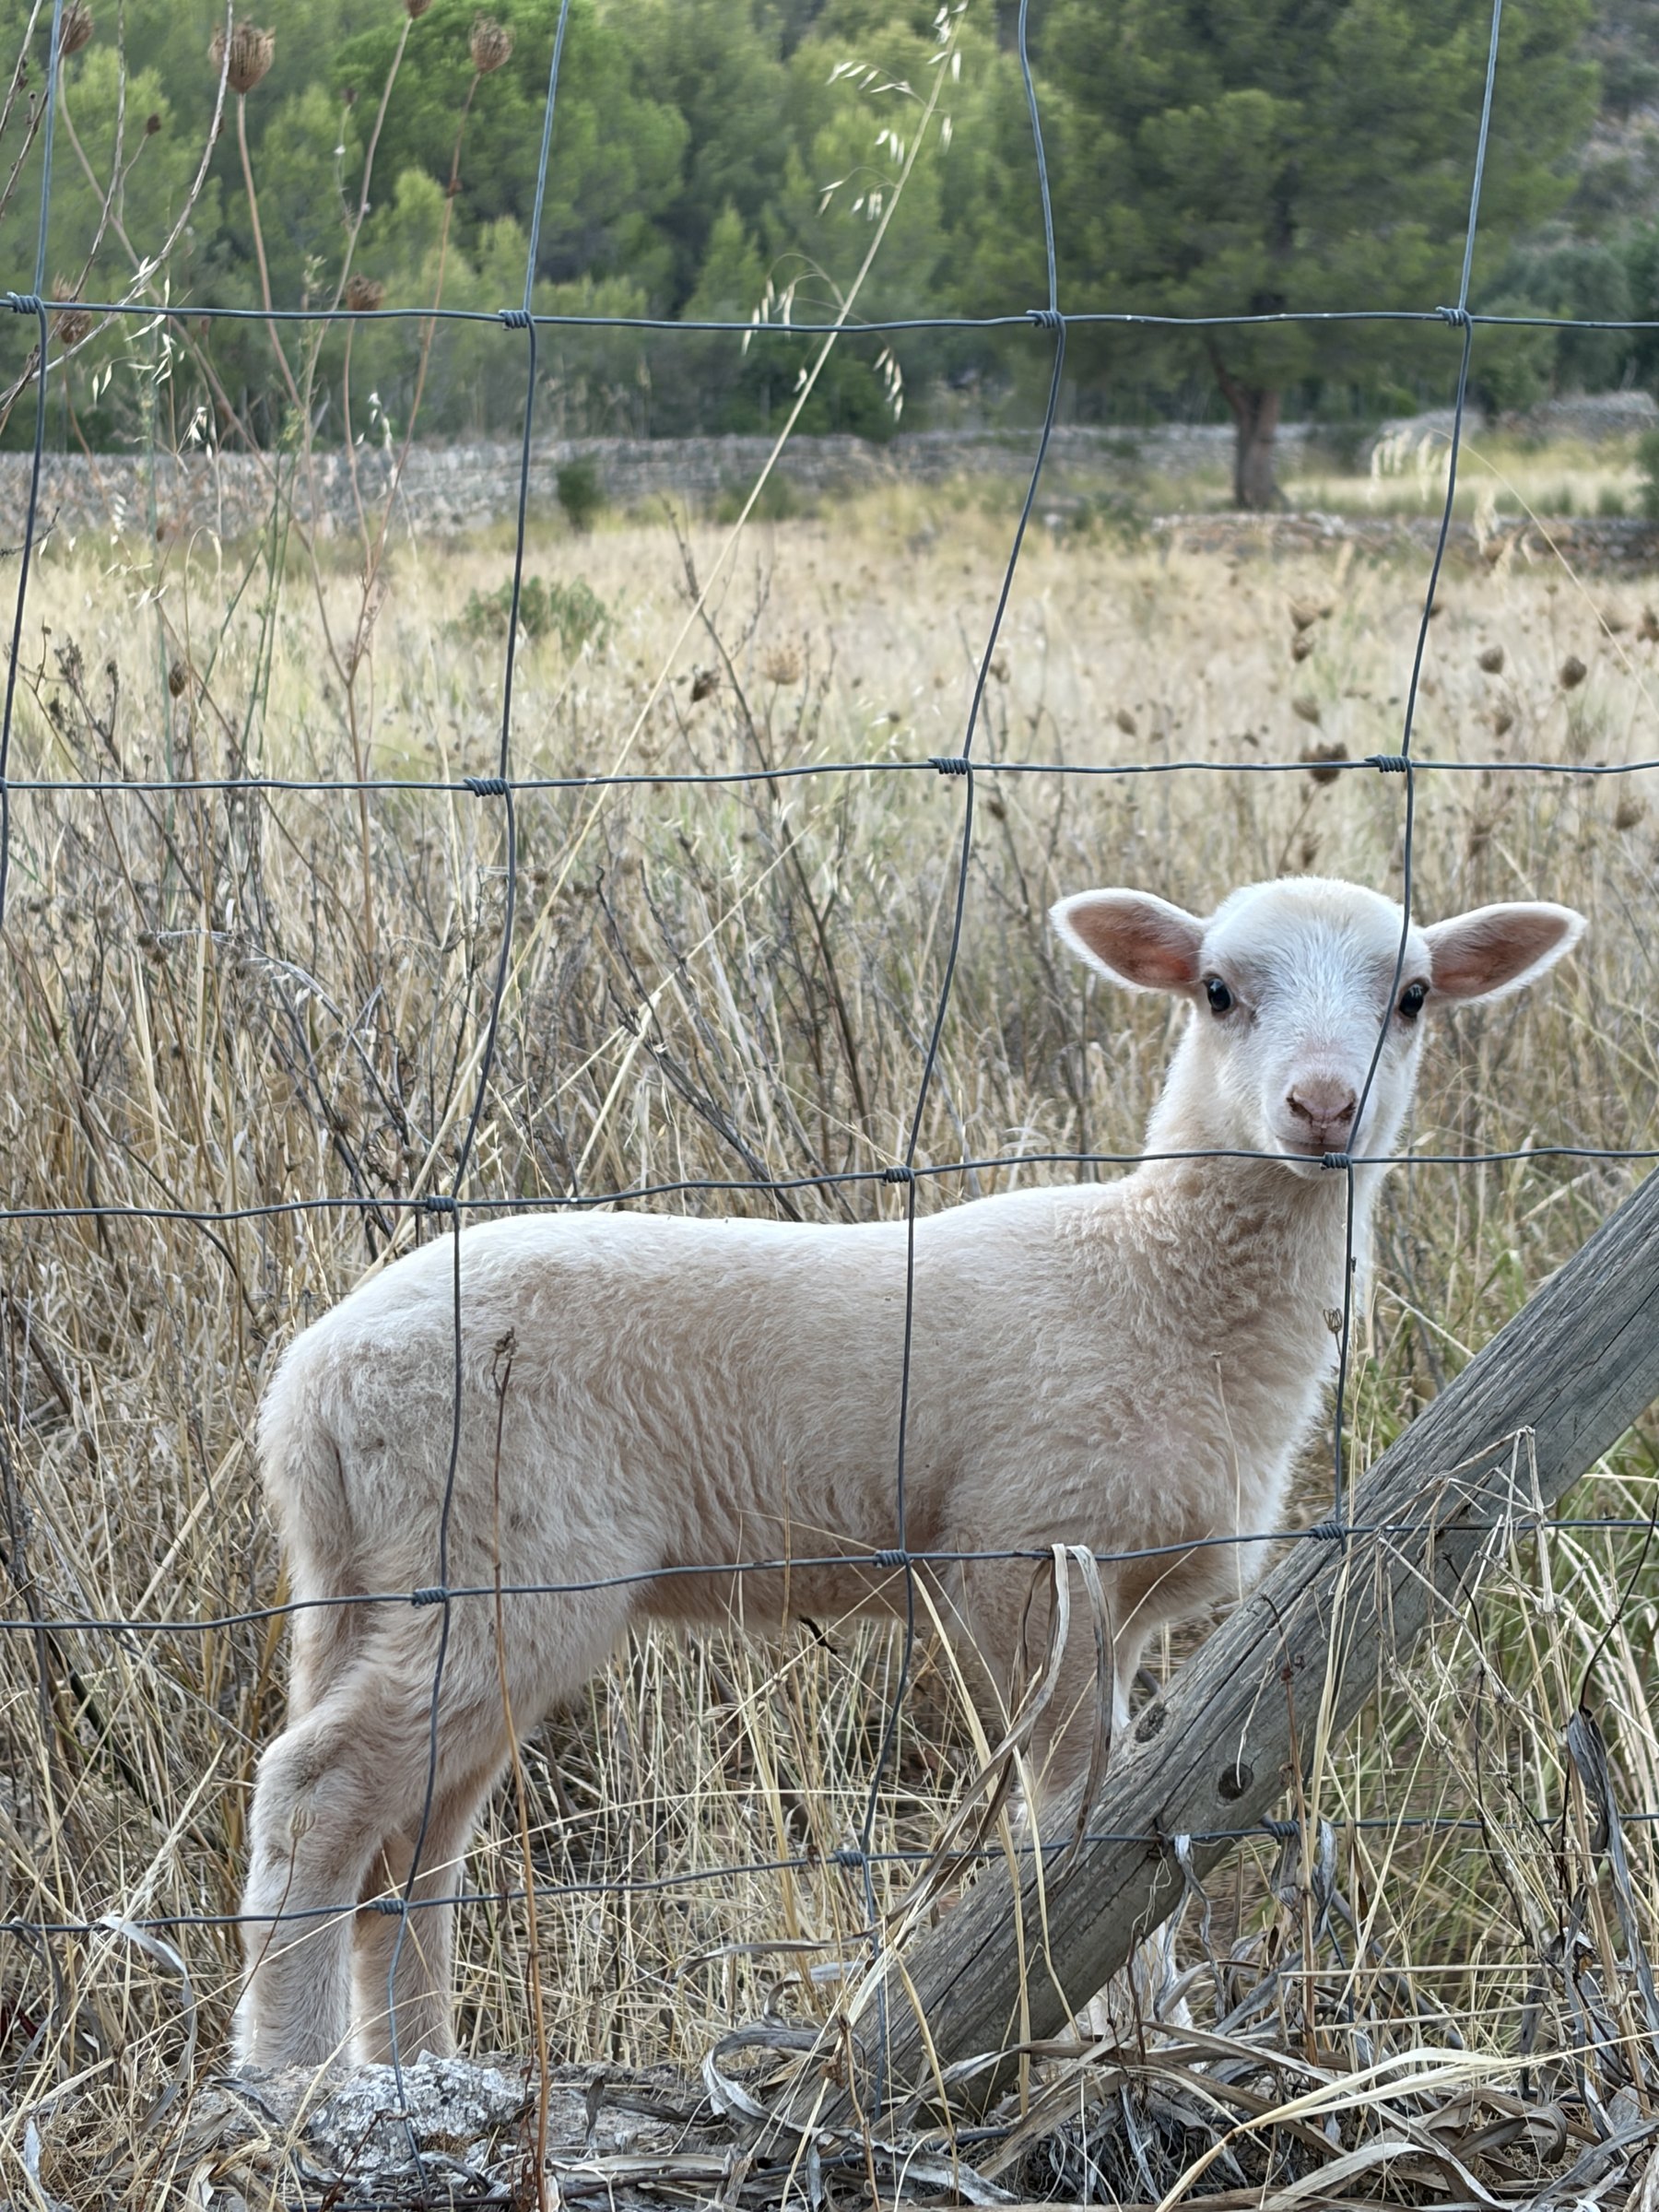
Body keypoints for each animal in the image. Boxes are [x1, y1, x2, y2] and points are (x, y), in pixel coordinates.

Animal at [234, 874, 1584, 2072]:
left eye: (1413, 997)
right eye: (1216, 991)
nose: (1322, 1107)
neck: (1157, 1280)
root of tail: (312, 1382)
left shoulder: (1123, 1594)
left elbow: (1137, 1801)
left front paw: (1149, 2030)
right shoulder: (1020, 1554)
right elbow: (1077, 1808)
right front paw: (1111, 2034)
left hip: (392, 1579)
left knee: (412, 1847)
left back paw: (421, 2072)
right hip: (502, 1562)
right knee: (321, 1791)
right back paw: (297, 2083)